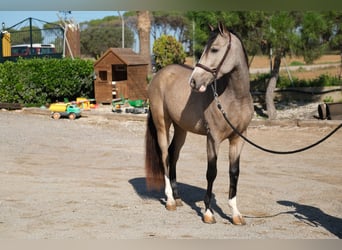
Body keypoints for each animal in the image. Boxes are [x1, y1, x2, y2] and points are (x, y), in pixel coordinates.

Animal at [143, 22, 252, 225]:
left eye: (215, 49)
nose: (194, 81)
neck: (235, 98)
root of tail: (159, 74)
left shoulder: (238, 138)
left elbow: (234, 172)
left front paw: (235, 214)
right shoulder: (213, 138)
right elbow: (212, 172)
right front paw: (208, 212)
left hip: (181, 129)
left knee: (173, 155)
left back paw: (177, 197)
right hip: (162, 125)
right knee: (164, 156)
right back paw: (170, 200)